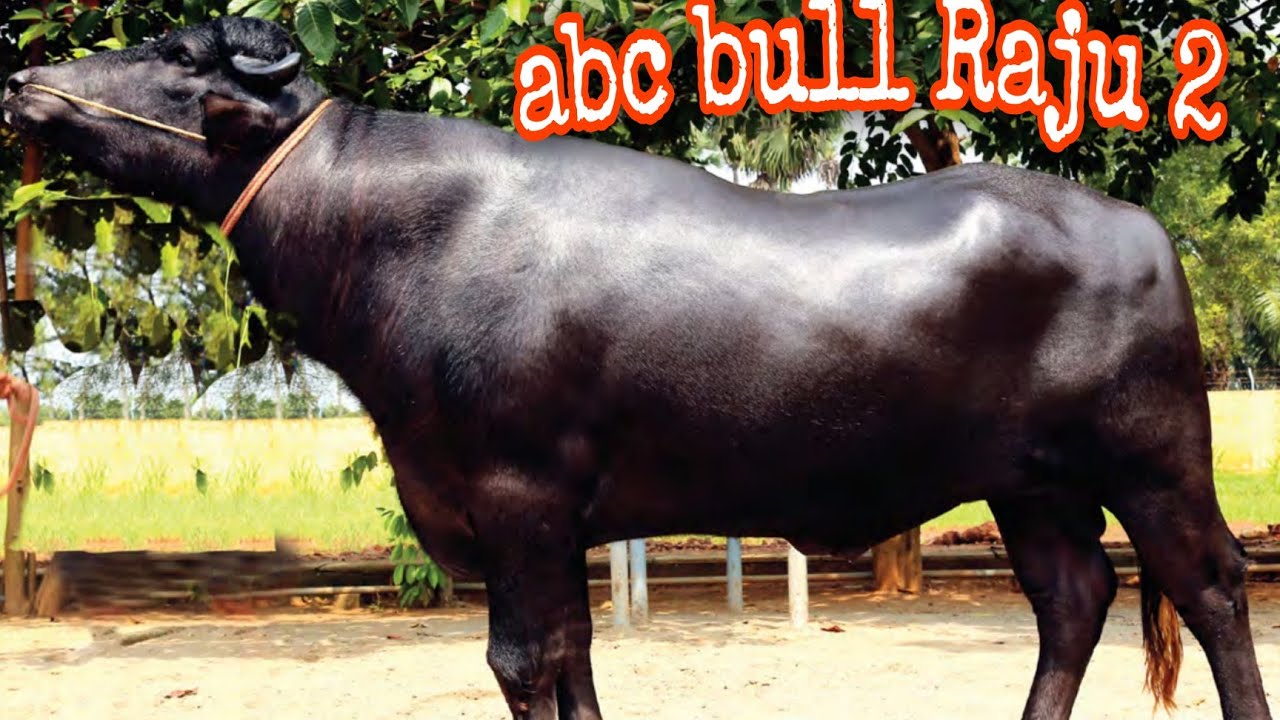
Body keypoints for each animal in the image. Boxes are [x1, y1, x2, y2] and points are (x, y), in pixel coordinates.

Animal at [3, 16, 1271, 720]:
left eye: (174, 53)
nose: (22, 82)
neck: (398, 231)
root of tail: (1133, 225)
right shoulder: (546, 522)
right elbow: (570, 656)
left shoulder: (516, 495)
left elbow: (520, 661)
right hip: (1030, 485)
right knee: (1073, 601)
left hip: (1154, 461)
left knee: (1209, 589)